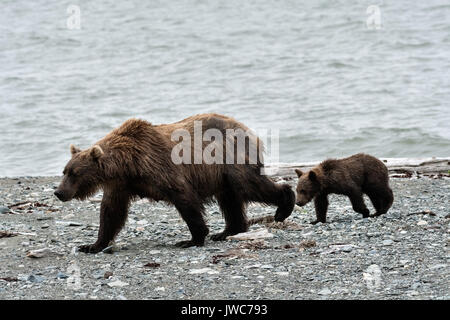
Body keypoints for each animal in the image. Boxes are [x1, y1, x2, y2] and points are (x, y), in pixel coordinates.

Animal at [53, 113, 296, 252]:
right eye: (64, 171)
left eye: (74, 173)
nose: (58, 192)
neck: (128, 164)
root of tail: (249, 130)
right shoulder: (120, 184)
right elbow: (111, 212)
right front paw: (91, 245)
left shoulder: (160, 168)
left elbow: (184, 198)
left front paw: (192, 238)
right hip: (221, 173)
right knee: (229, 198)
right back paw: (226, 232)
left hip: (230, 157)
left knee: (250, 185)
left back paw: (284, 205)